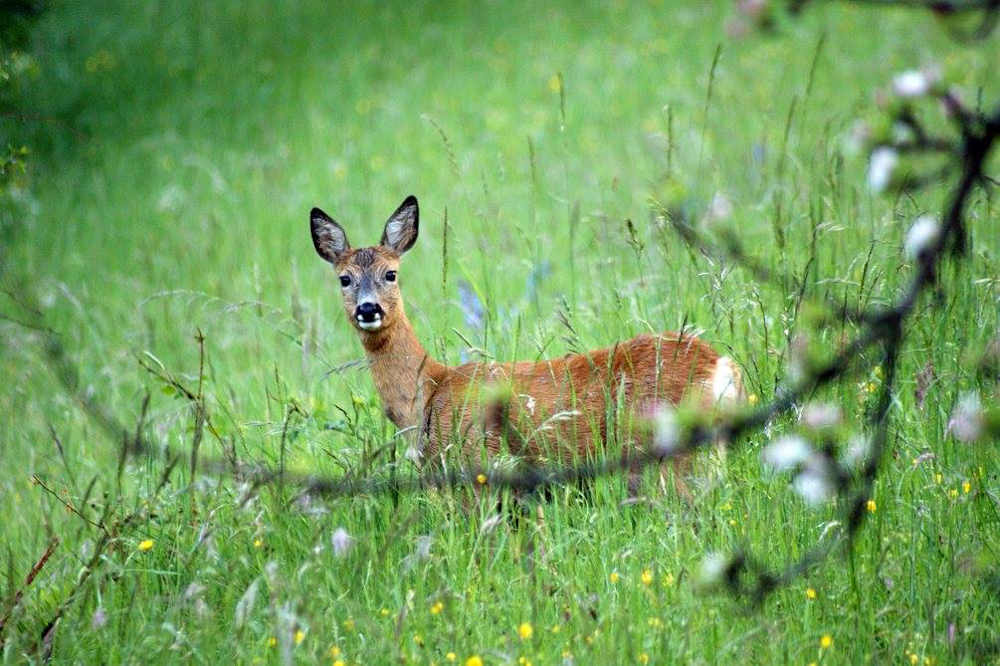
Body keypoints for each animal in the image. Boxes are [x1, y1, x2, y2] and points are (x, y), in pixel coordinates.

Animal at [310, 195, 744, 490]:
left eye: (391, 273)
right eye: (344, 278)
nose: (368, 309)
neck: (427, 393)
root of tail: (722, 368)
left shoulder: (476, 466)